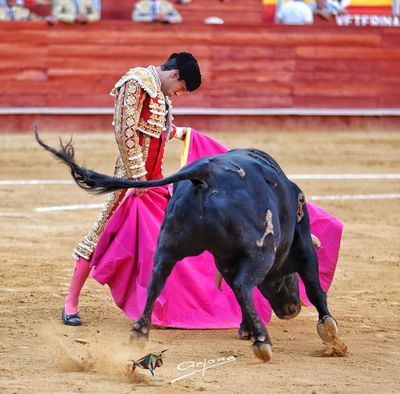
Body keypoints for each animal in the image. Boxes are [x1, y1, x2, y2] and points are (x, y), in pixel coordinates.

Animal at [36, 133, 340, 364]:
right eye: (289, 278)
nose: (291, 309)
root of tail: (205, 172)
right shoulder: (301, 245)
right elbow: (314, 285)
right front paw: (329, 330)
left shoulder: (224, 260)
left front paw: (245, 329)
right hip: (259, 253)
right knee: (243, 285)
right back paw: (263, 342)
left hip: (170, 243)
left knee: (157, 278)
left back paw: (139, 333)